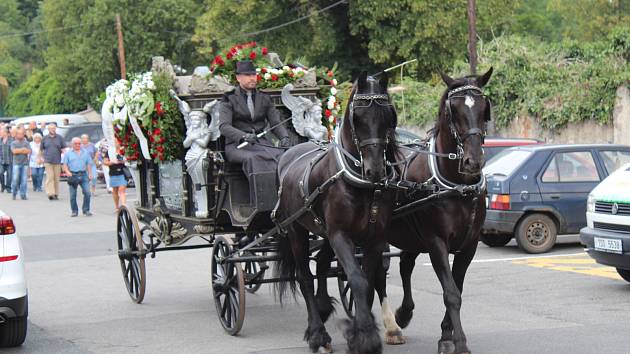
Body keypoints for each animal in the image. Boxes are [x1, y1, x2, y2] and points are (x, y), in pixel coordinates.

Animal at [272, 72, 400, 354]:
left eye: (389, 116)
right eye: (358, 118)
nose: (375, 171)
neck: (362, 185)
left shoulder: (374, 238)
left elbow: (367, 280)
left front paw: (361, 333)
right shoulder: (340, 234)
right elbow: (357, 279)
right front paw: (365, 337)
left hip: (324, 232)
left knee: (320, 263)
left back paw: (322, 307)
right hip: (297, 231)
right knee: (304, 277)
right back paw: (317, 333)